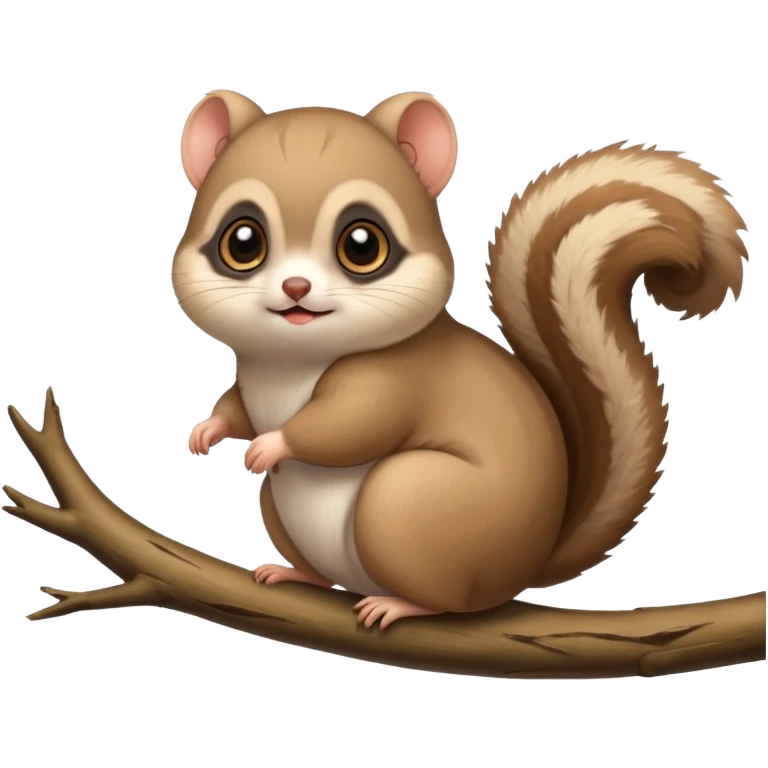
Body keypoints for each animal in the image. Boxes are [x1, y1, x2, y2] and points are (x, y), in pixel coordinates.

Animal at [172, 89, 748, 631]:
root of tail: (528, 562)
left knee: (449, 598)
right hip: (286, 508)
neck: (291, 361)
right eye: (242, 241)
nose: (296, 288)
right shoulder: (252, 380)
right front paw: (207, 432)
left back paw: (399, 605)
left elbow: (349, 425)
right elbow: (238, 407)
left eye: (363, 245)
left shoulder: (391, 378)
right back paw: (295, 574)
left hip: (405, 502)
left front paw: (272, 445)